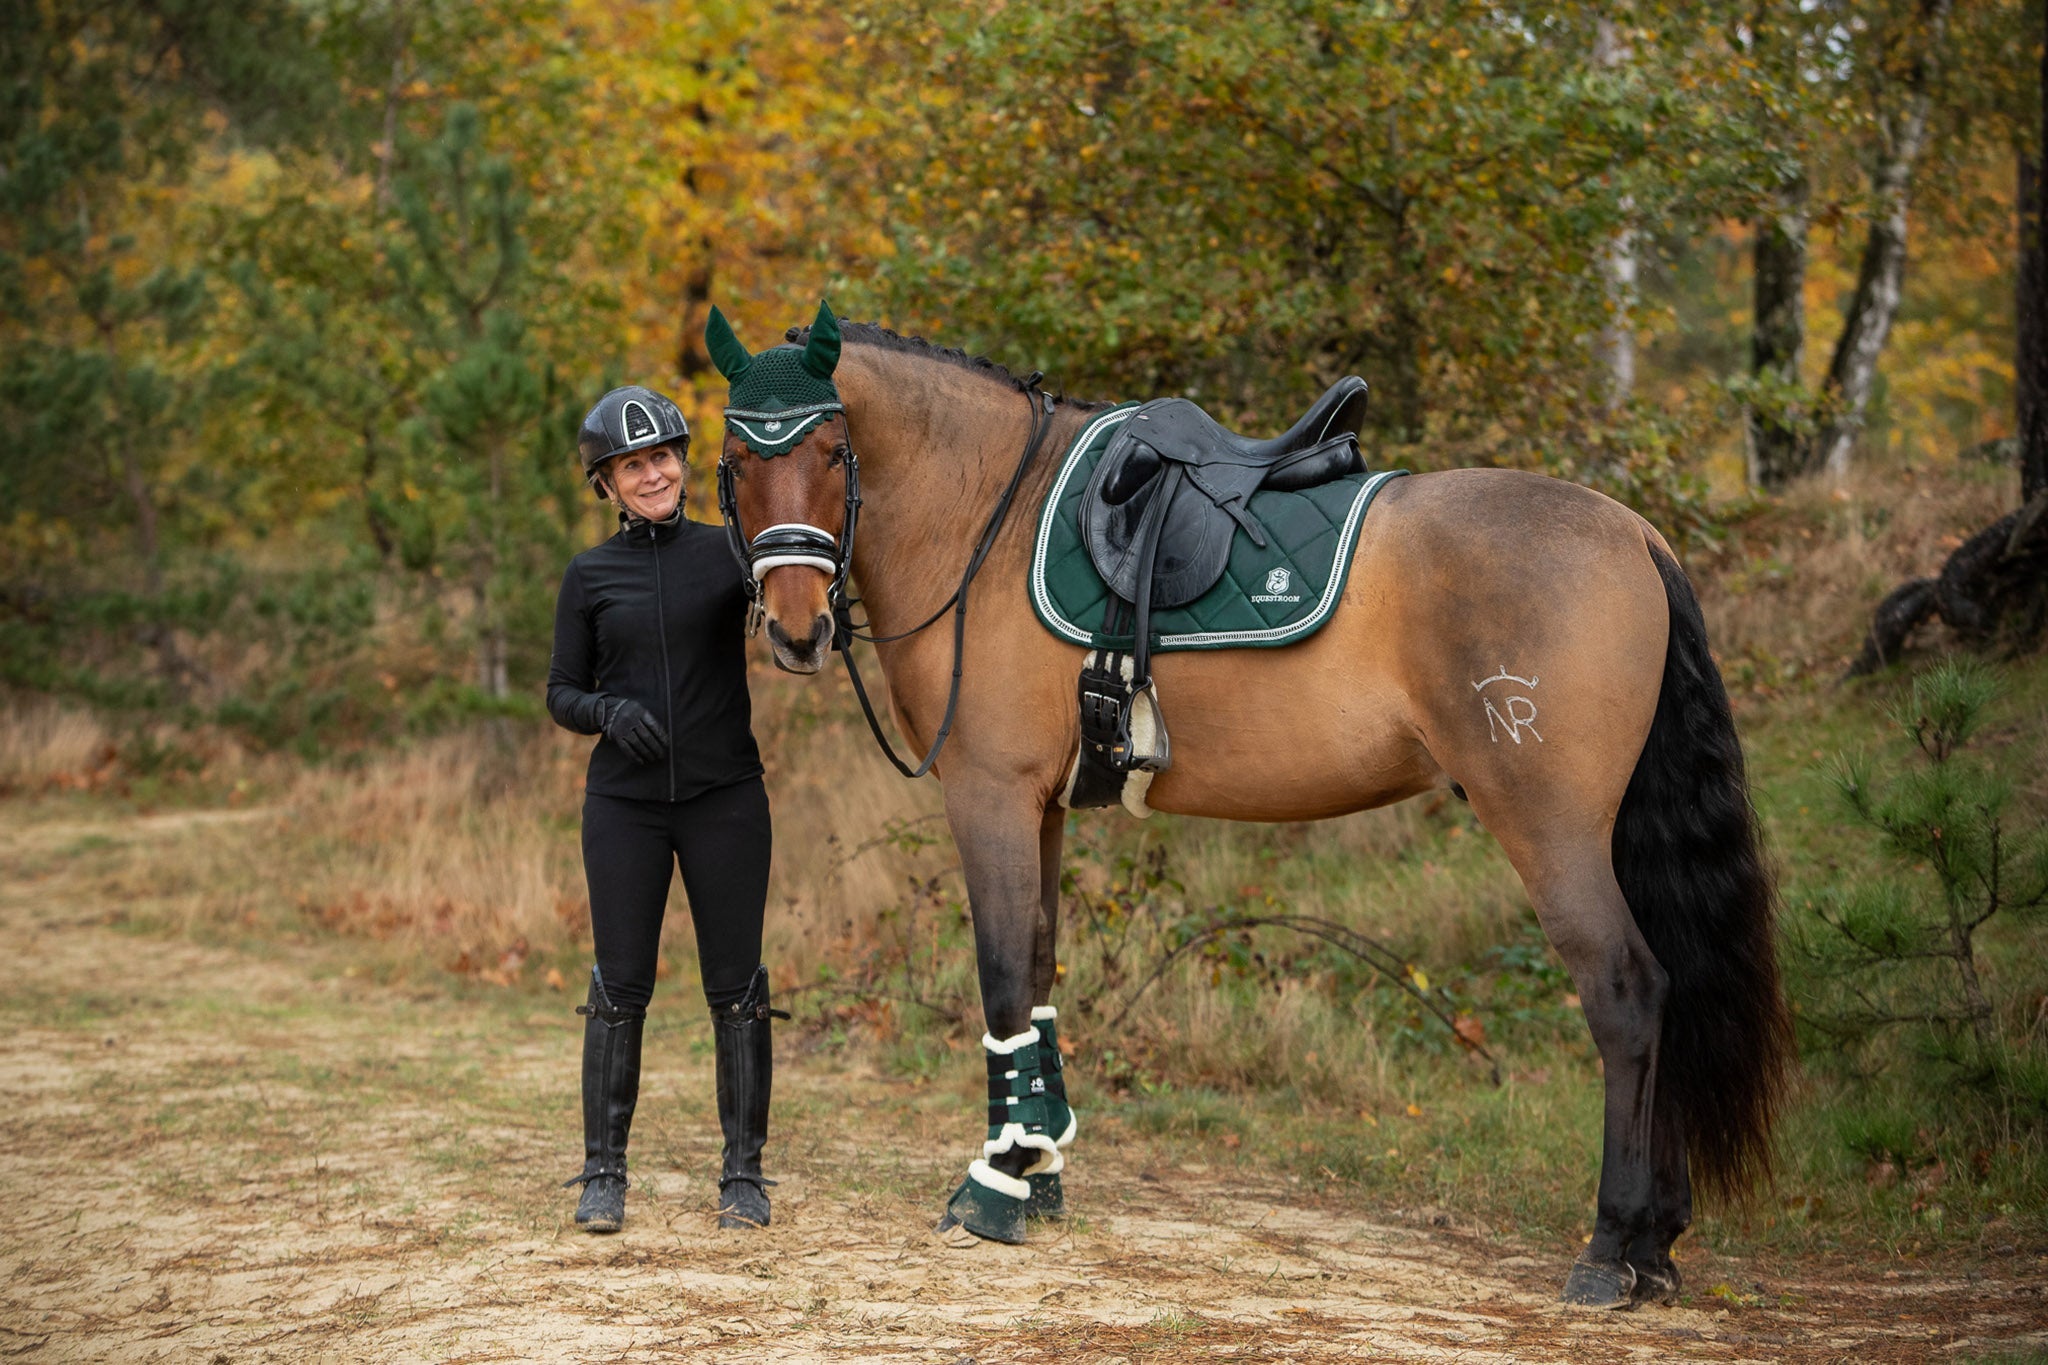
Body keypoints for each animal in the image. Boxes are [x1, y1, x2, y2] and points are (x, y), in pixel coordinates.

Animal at [707, 310, 1791, 1309]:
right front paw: (1042, 1170)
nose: (797, 630)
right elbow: (1043, 968)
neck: (986, 518)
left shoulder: (989, 793)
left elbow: (1005, 979)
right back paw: (1656, 1244)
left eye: (833, 450)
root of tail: (1636, 535)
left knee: (1628, 991)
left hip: (1549, 829)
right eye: (736, 459)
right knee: (1672, 987)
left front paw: (996, 1185)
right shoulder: (1041, 803)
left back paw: (1612, 1247)